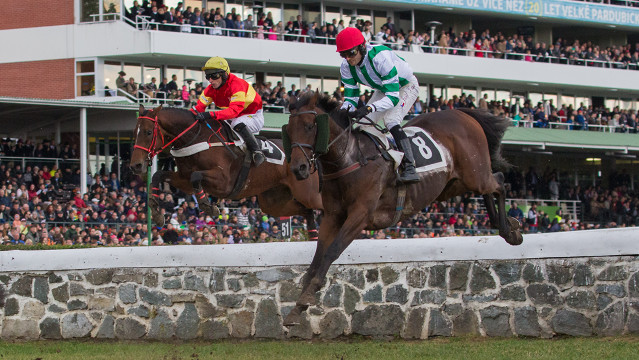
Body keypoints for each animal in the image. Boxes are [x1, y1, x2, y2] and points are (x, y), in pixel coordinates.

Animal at [129, 105, 322, 236]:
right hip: (273, 203)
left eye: (148, 132)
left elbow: (196, 176)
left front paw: (208, 206)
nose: (135, 165)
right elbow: (159, 175)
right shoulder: (184, 180)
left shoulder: (224, 182)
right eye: (134, 132)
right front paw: (156, 211)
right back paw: (313, 234)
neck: (195, 138)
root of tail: (309, 157)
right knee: (306, 211)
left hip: (309, 193)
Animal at [282, 90, 524, 326]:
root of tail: (463, 114)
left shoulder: (360, 214)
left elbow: (332, 251)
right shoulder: (333, 216)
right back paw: (508, 226)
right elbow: (317, 257)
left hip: (474, 175)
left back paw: (509, 231)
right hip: (453, 184)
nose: (298, 168)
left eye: (310, 126)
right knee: (491, 186)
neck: (348, 158)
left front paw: (305, 298)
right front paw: (297, 307)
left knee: (499, 182)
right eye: (289, 131)